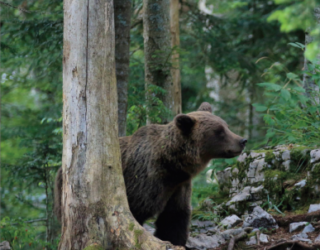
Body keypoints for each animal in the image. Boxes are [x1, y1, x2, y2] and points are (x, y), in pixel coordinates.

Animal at [53, 102, 246, 247]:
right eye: (219, 131)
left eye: (226, 126)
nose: (242, 140)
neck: (172, 166)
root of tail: (60, 168)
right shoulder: (144, 181)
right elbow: (137, 211)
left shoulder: (179, 187)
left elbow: (174, 217)